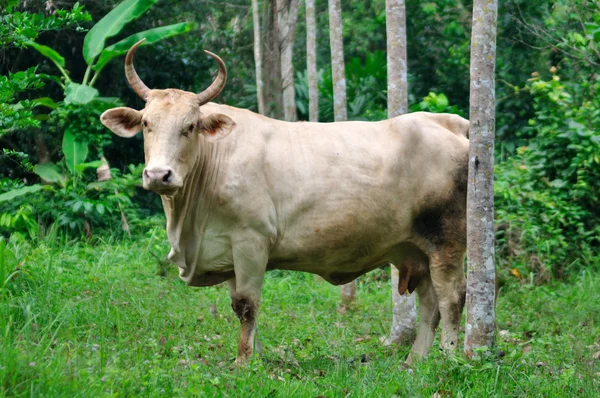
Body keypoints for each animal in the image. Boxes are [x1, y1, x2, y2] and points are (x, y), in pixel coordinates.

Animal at [101, 38, 472, 366]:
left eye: (190, 126)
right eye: (146, 123)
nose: (159, 175)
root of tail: (447, 122)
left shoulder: (251, 241)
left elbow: (247, 304)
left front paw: (244, 362)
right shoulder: (228, 251)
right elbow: (239, 305)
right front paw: (256, 355)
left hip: (446, 242)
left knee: (451, 298)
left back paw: (449, 358)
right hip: (415, 248)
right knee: (430, 304)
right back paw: (415, 361)